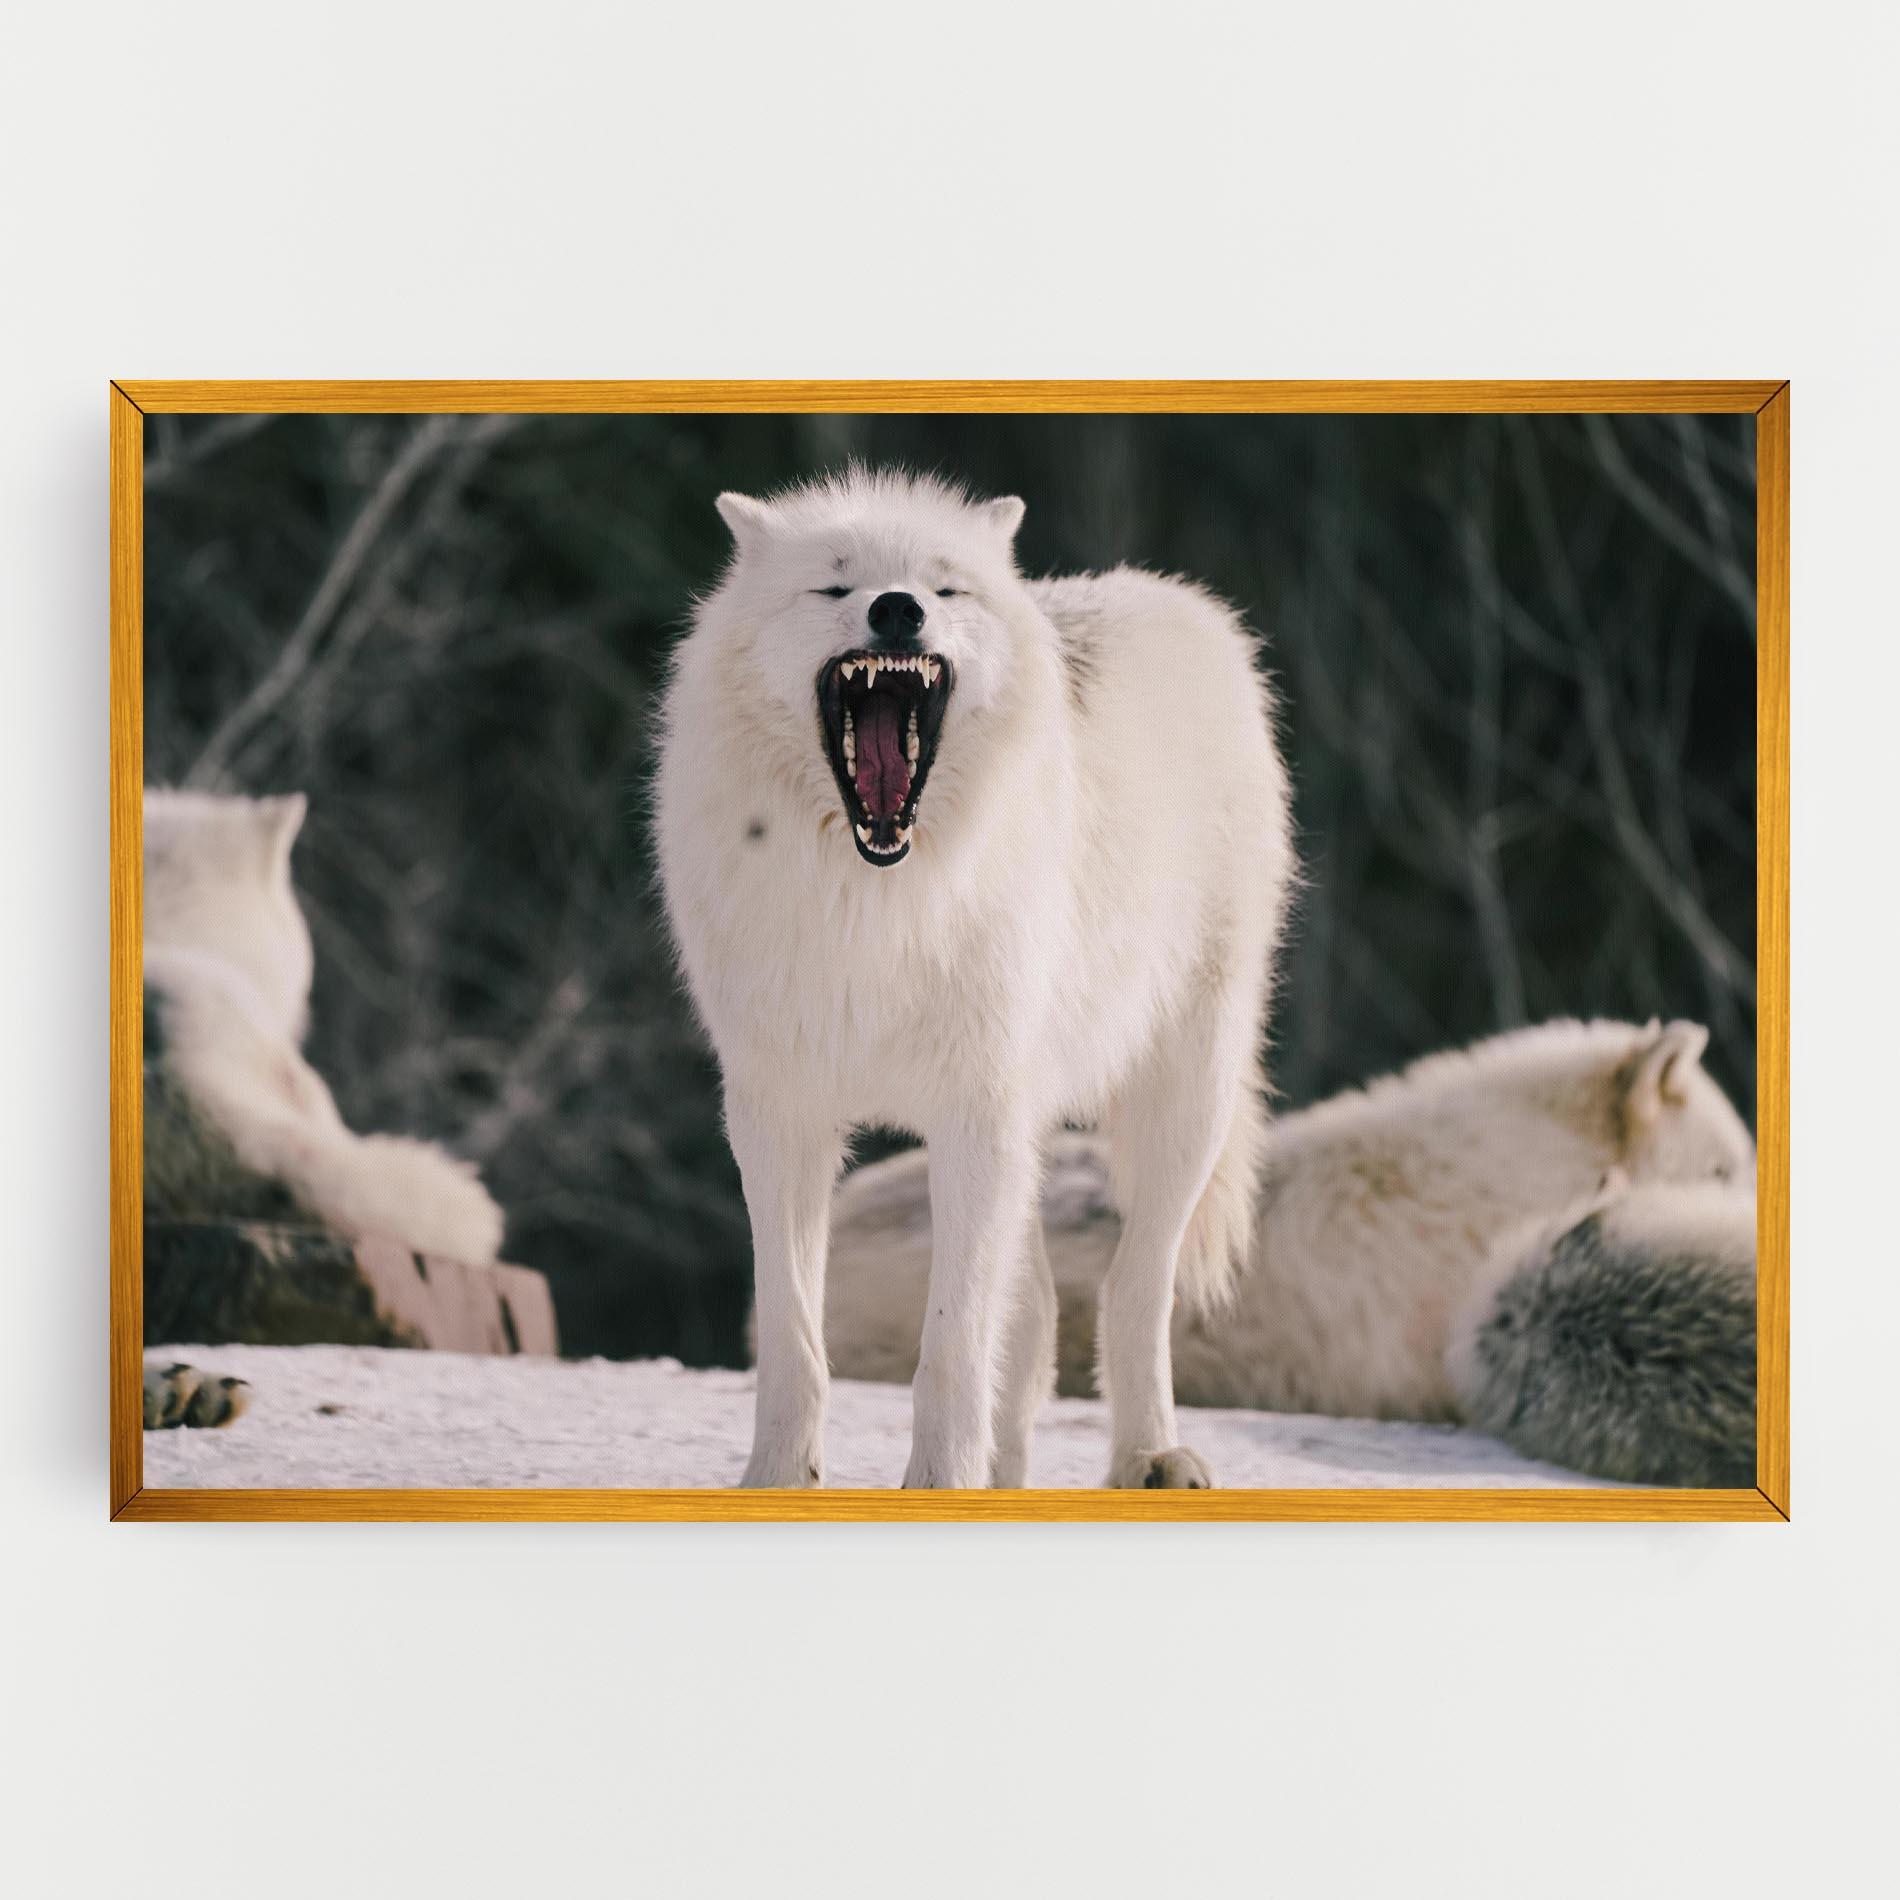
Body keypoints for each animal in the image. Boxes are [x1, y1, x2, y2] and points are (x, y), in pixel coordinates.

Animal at [654, 470, 1292, 1488]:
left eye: (944, 588)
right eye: (835, 586)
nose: (898, 609)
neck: (876, 901)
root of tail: (1178, 601)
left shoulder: (973, 1114)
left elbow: (951, 1345)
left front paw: (938, 1485)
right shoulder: (778, 1115)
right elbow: (795, 1337)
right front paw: (777, 1482)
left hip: (1181, 1099)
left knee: (1133, 1288)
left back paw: (1151, 1455)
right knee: (1033, 1325)